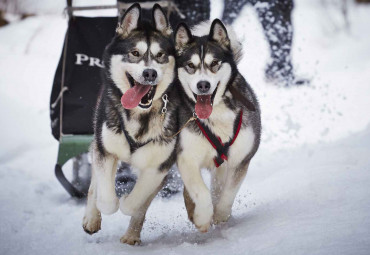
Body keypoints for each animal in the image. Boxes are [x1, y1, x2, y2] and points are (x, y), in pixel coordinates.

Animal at [81, 2, 179, 244]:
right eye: (135, 53)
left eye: (160, 55)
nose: (150, 73)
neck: (140, 116)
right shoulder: (106, 151)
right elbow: (105, 197)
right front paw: (104, 207)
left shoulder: (159, 166)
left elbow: (137, 202)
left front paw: (127, 203)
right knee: (94, 184)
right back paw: (91, 218)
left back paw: (131, 235)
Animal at [175, 19, 262, 231]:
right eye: (190, 65)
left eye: (214, 63)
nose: (203, 85)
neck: (217, 114)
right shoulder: (187, 158)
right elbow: (200, 192)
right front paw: (203, 218)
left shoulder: (241, 159)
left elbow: (228, 192)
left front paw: (221, 215)